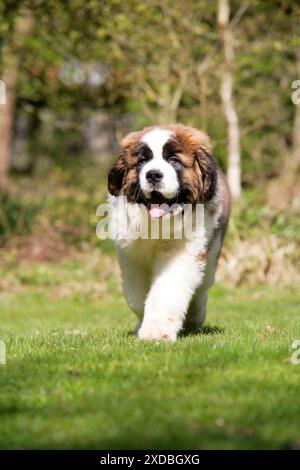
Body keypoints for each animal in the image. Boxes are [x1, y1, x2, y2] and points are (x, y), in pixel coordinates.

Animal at [108, 123, 232, 340]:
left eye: (174, 161)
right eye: (142, 161)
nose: (153, 174)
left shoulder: (183, 254)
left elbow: (166, 291)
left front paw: (156, 331)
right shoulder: (130, 257)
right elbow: (136, 297)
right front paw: (142, 324)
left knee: (202, 287)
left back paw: (194, 317)